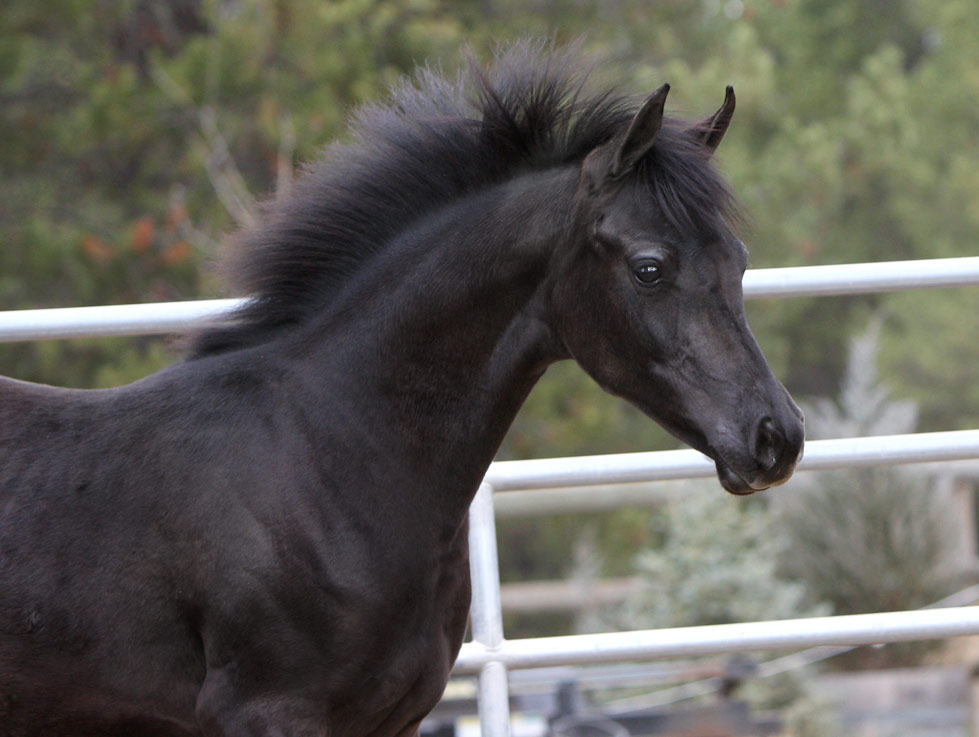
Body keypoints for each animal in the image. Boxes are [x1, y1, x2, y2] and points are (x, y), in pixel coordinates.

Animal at [0, 43, 804, 732]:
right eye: (648, 267)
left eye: (737, 259)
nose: (776, 437)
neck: (320, 462)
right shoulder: (268, 713)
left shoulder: (398, 718)